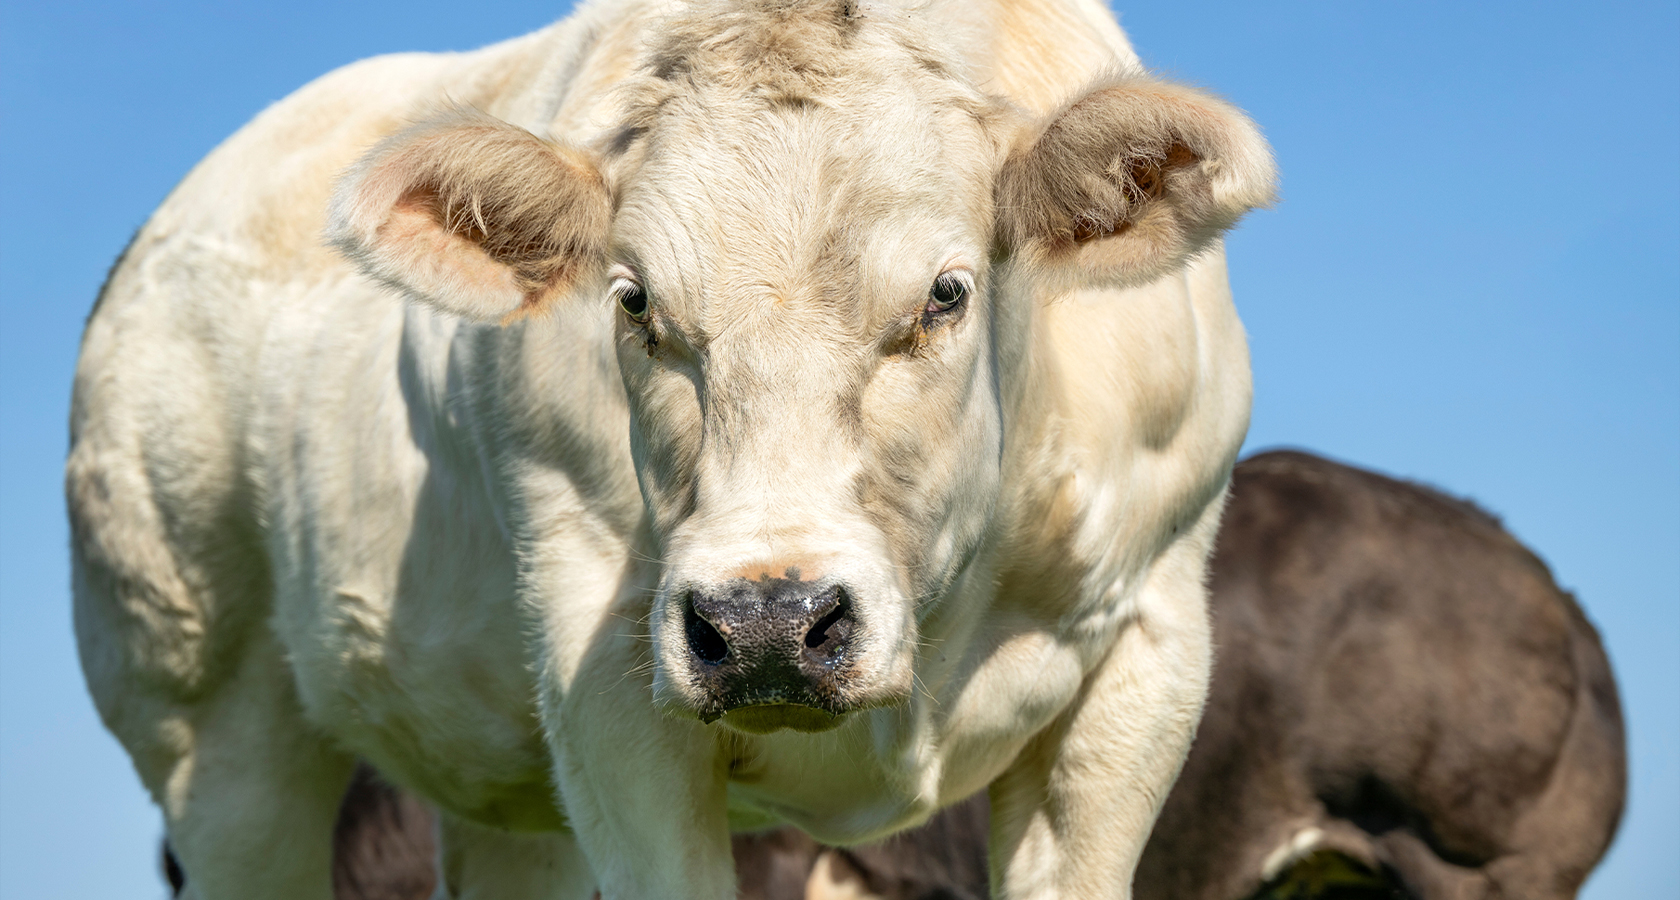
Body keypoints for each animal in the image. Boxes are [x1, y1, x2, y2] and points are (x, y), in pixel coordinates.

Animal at [68, 0, 1278, 897]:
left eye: (946, 291)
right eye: (636, 300)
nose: (769, 625)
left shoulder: (1151, 650)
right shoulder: (598, 675)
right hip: (211, 734)